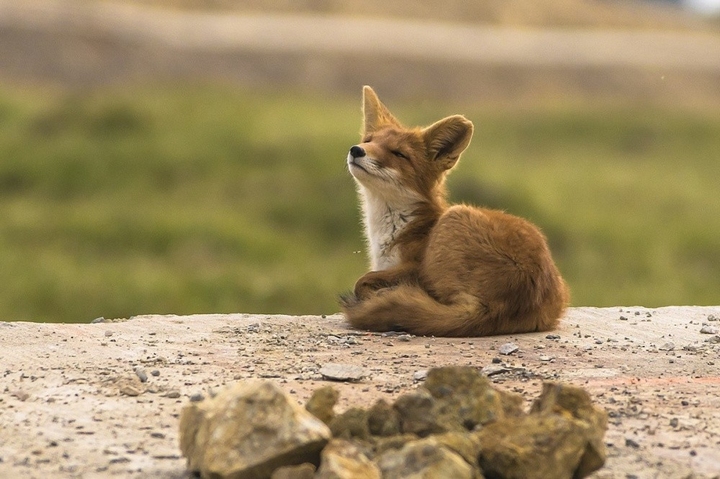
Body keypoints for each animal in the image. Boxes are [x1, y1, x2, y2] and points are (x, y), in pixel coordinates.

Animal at [340, 85, 572, 338]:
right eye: (368, 140)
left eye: (399, 154)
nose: (356, 150)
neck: (393, 229)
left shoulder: (416, 268)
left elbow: (363, 280)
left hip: (454, 220)